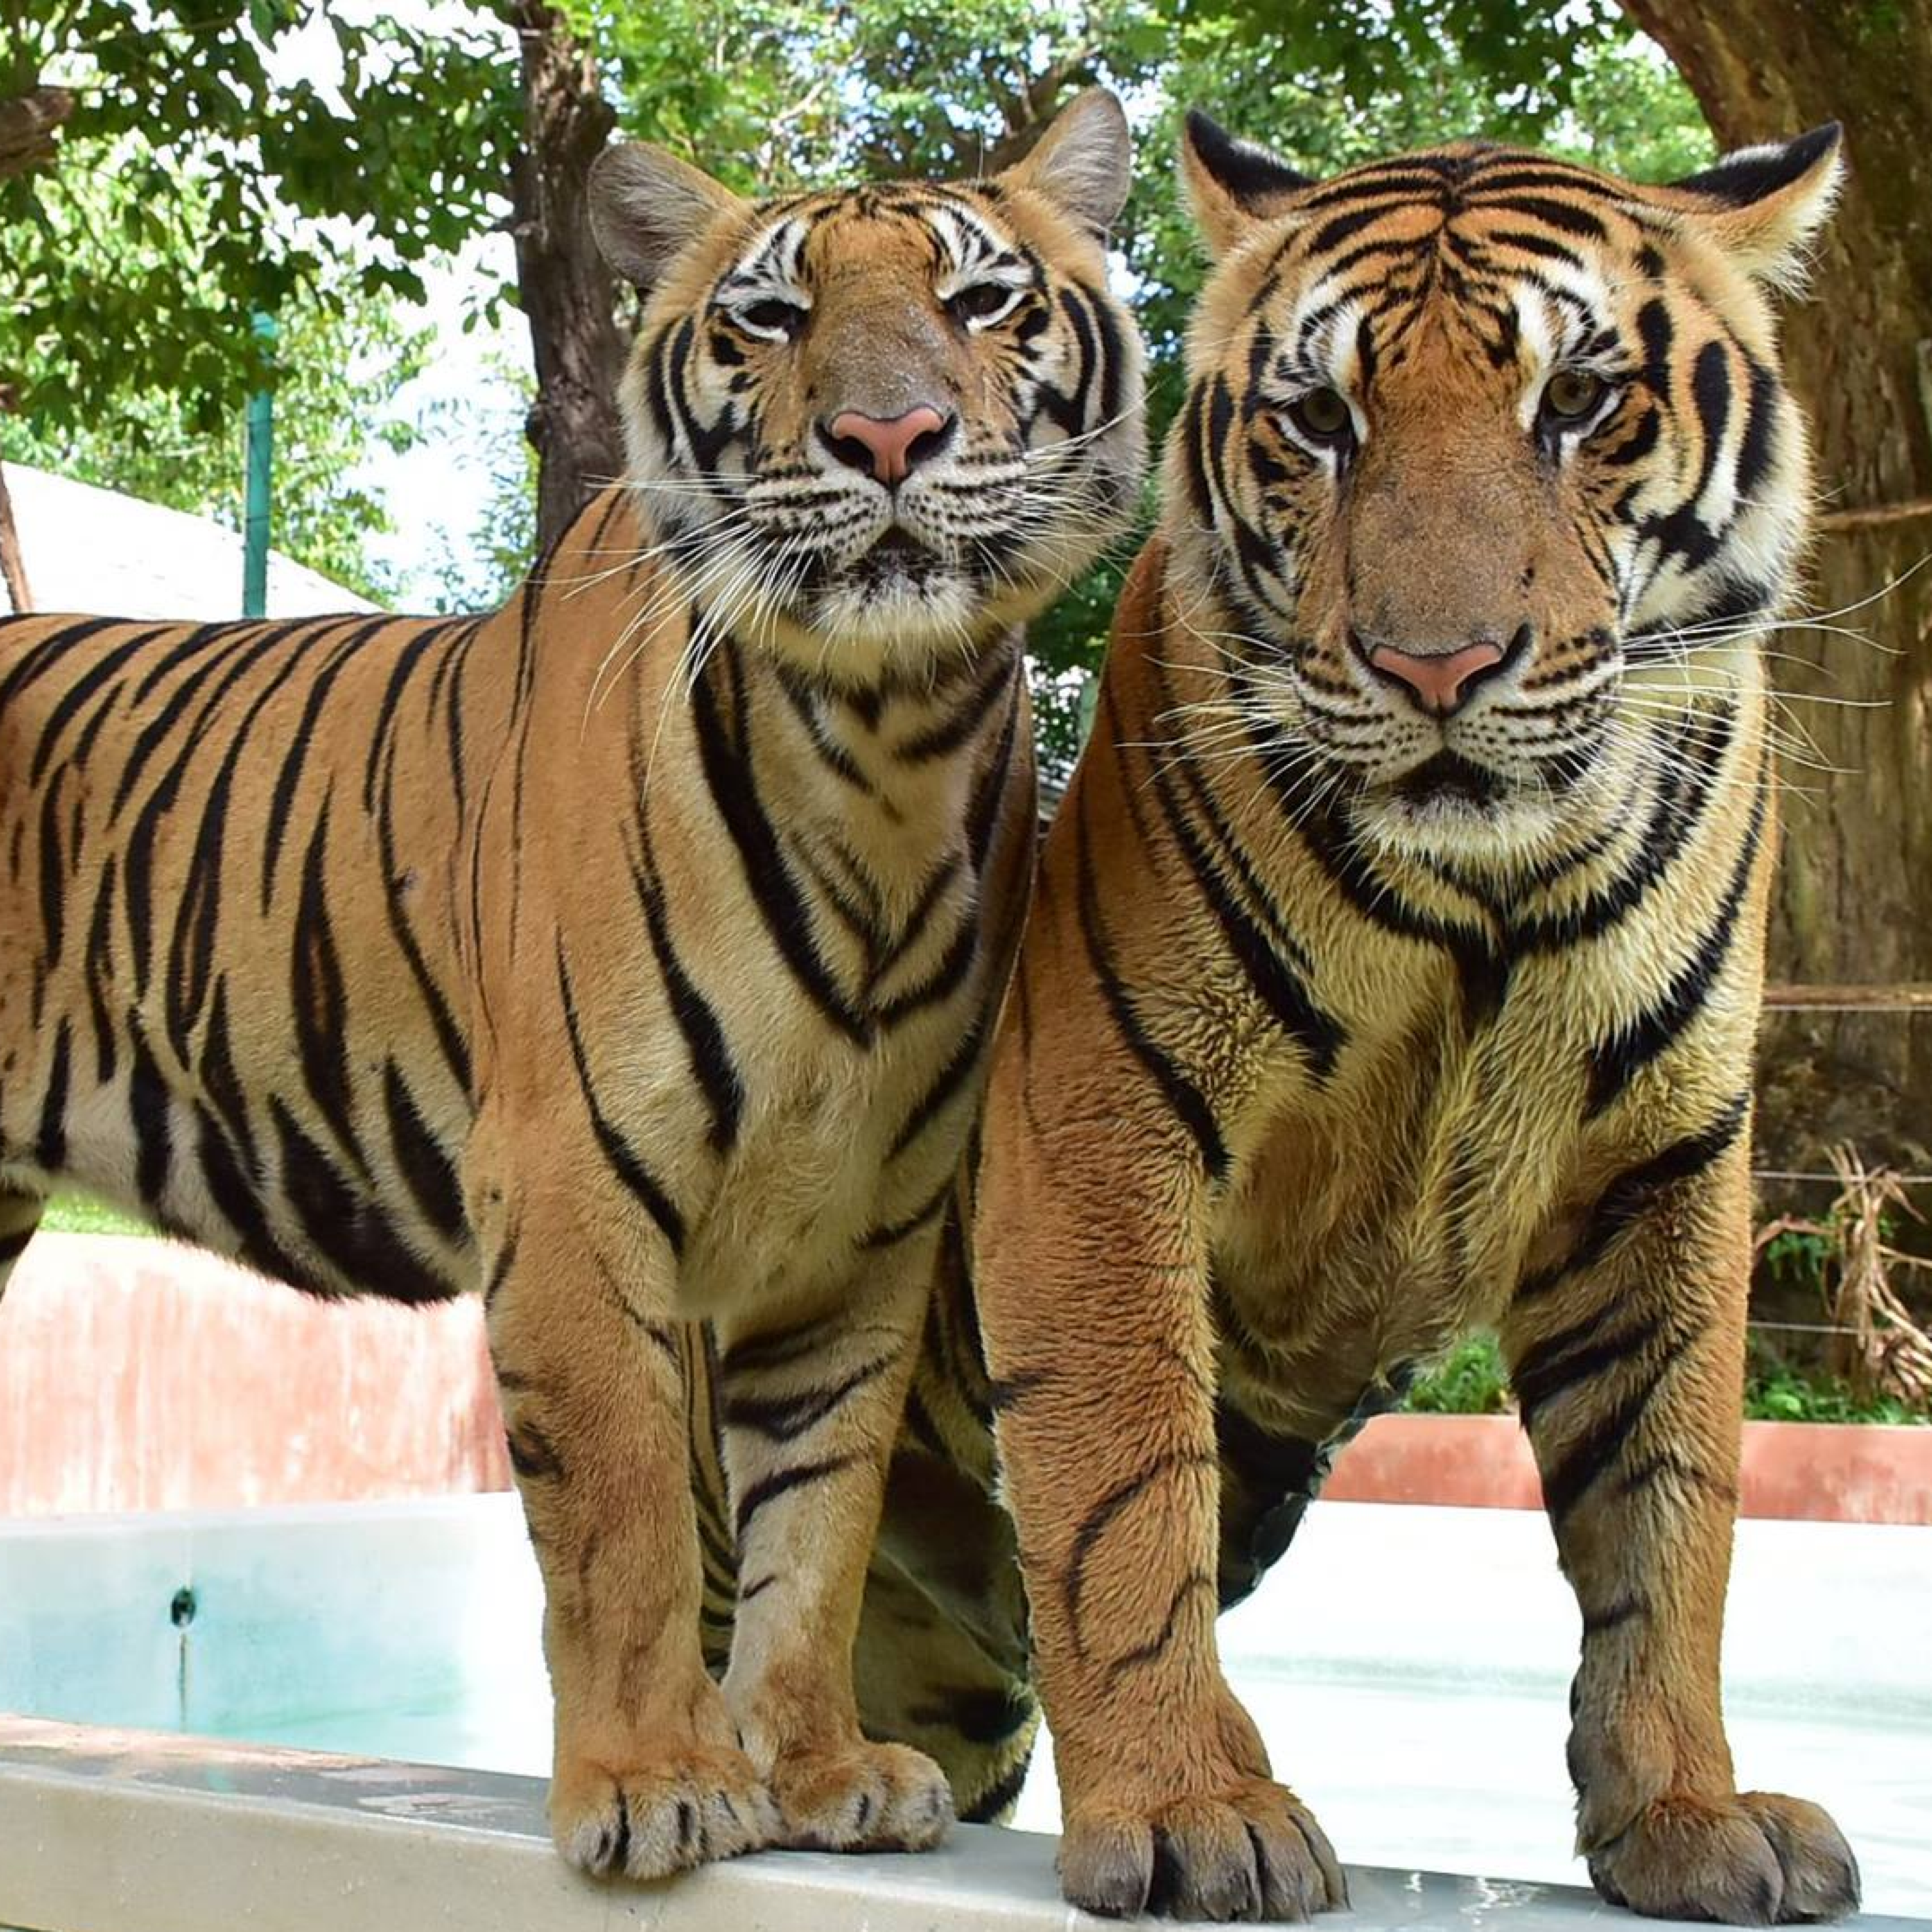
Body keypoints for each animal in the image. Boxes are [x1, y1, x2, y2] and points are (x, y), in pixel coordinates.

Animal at [0, 87, 1142, 1883]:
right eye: (772, 317)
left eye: (981, 304)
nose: (889, 438)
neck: (886, 744)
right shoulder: (573, 1187)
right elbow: (627, 1516)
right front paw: (659, 1778)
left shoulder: (863, 1238)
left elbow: (818, 1522)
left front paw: (820, 1767)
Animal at [844, 113, 1866, 1924]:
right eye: (1320, 421)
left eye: (1579, 400)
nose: (1436, 668)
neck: (1497, 896)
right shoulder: (1099, 1107)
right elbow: (1123, 1482)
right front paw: (1189, 1807)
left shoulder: (1663, 1160)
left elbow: (1673, 1508)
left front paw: (1689, 1810)